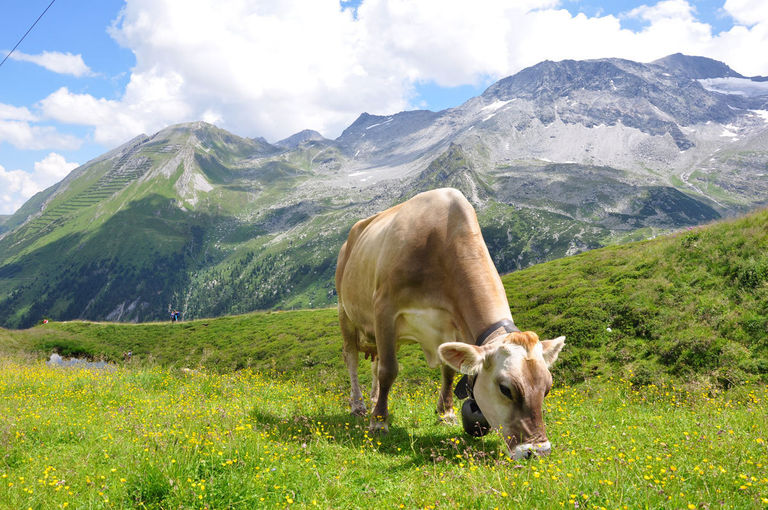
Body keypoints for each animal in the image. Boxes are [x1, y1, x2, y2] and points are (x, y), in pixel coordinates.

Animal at [336, 187, 564, 458]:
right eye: (506, 389)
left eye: (547, 387)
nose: (538, 451)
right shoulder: (384, 308)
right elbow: (389, 370)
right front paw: (379, 422)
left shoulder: (450, 325)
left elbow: (449, 371)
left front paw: (445, 413)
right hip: (345, 312)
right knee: (352, 358)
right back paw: (359, 405)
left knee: (375, 362)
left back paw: (373, 399)